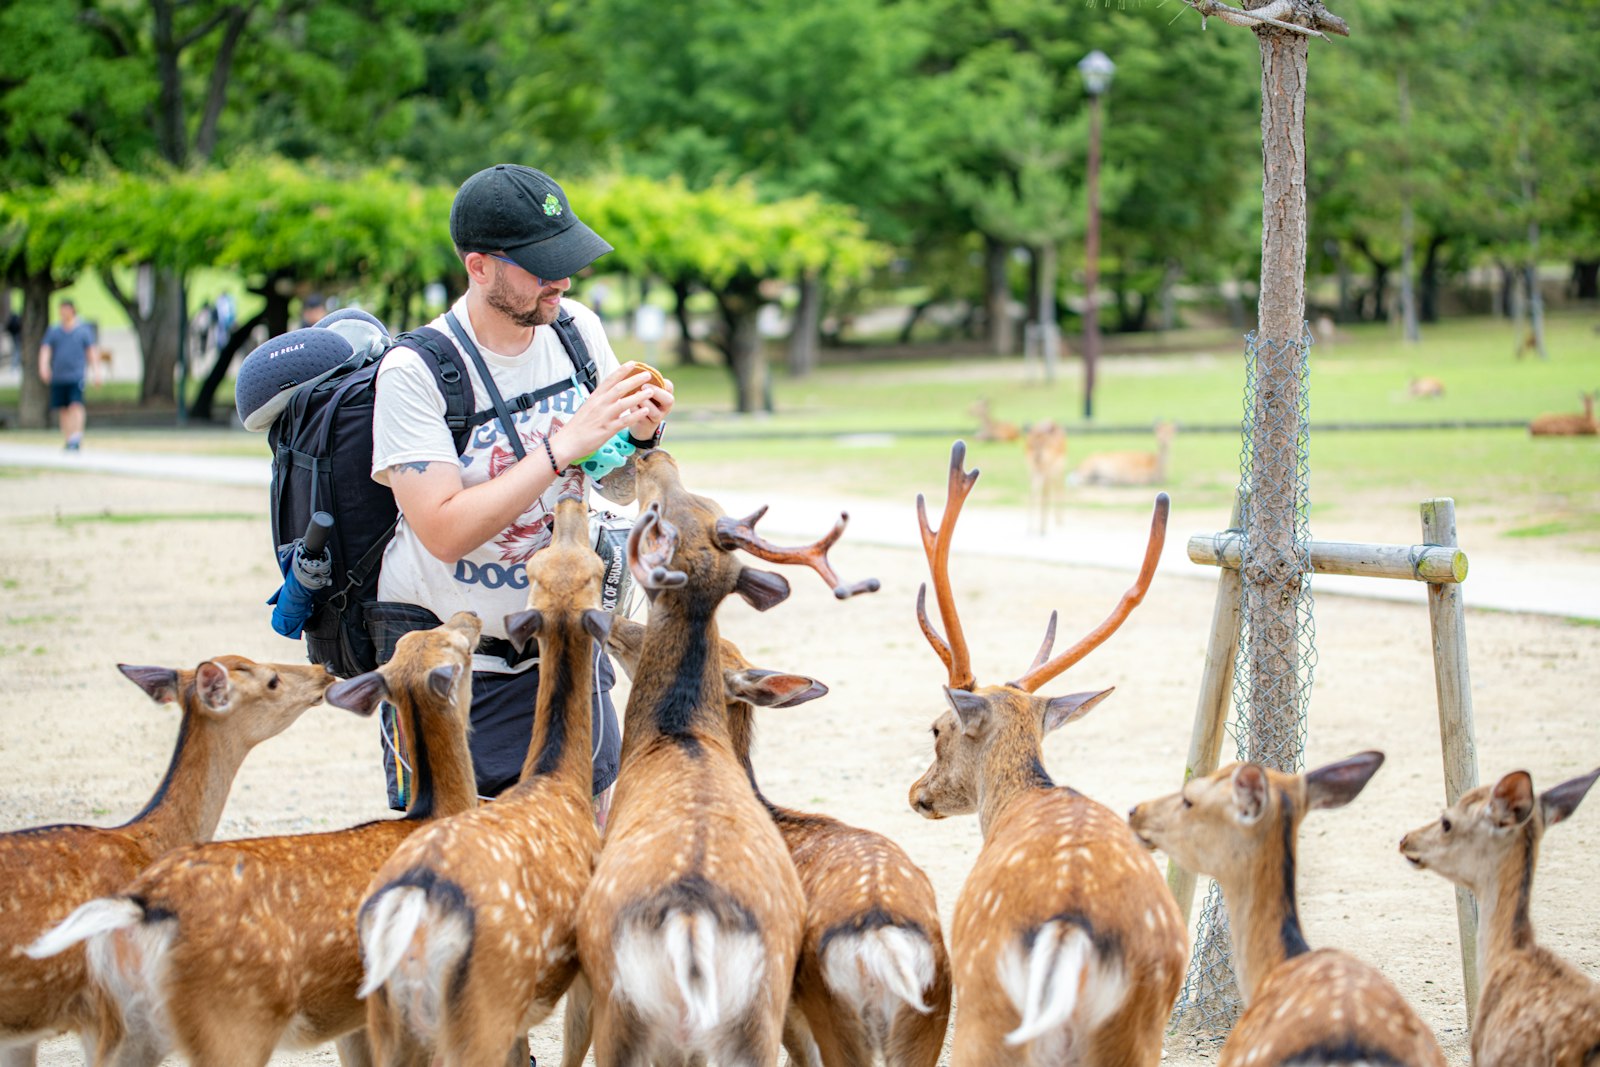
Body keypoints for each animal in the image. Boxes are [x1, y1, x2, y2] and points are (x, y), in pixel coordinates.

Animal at [354, 498, 609, 1066]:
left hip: (389, 1019)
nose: (569, 503)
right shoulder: (584, 966)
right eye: (599, 569)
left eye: (539, 570)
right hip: (481, 1011)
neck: (556, 778)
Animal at [568, 447, 879, 1067]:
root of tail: (692, 934)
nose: (653, 453)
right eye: (704, 502)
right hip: (753, 1026)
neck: (677, 732)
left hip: (623, 1016)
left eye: (659, 516)